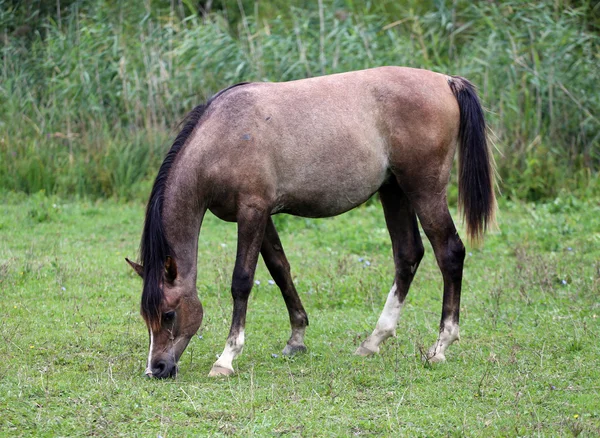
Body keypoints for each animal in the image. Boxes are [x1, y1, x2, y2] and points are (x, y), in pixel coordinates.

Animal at [126, 66, 496, 378]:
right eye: (146, 315)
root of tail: (446, 81)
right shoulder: (262, 216)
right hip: (394, 190)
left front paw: (226, 358)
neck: (225, 136)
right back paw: (373, 341)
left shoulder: (252, 212)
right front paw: (297, 338)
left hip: (423, 190)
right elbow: (280, 270)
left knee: (449, 252)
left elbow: (241, 281)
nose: (156, 369)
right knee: (408, 255)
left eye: (169, 314)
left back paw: (440, 347)